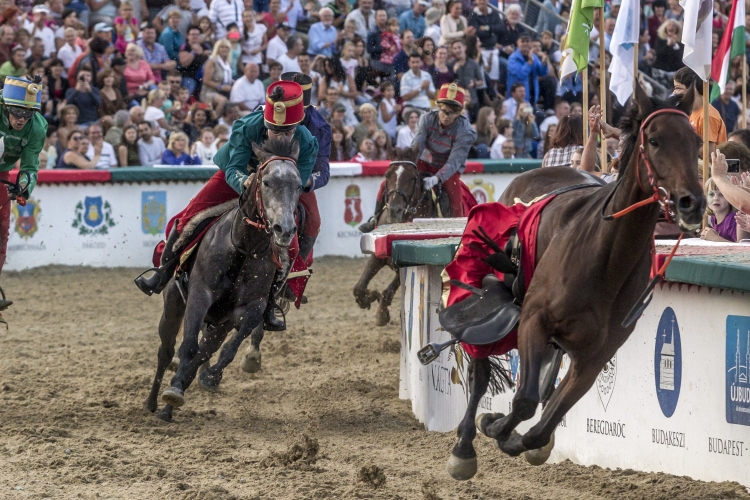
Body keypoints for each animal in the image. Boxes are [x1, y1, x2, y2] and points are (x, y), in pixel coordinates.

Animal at [144, 137, 302, 422]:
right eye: (266, 182)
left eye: (298, 185)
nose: (284, 229)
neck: (243, 248)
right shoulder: (199, 295)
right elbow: (188, 347)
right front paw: (174, 390)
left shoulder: (252, 308)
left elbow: (226, 350)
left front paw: (207, 377)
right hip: (173, 302)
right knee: (166, 351)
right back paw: (153, 402)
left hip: (219, 323)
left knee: (204, 351)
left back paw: (172, 400)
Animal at [444, 84, 708, 478]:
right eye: (656, 140)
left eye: (696, 140)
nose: (693, 202)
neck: (605, 258)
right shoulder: (534, 319)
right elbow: (524, 401)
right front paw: (493, 424)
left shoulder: (595, 355)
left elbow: (543, 423)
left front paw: (517, 437)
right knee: (479, 368)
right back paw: (463, 446)